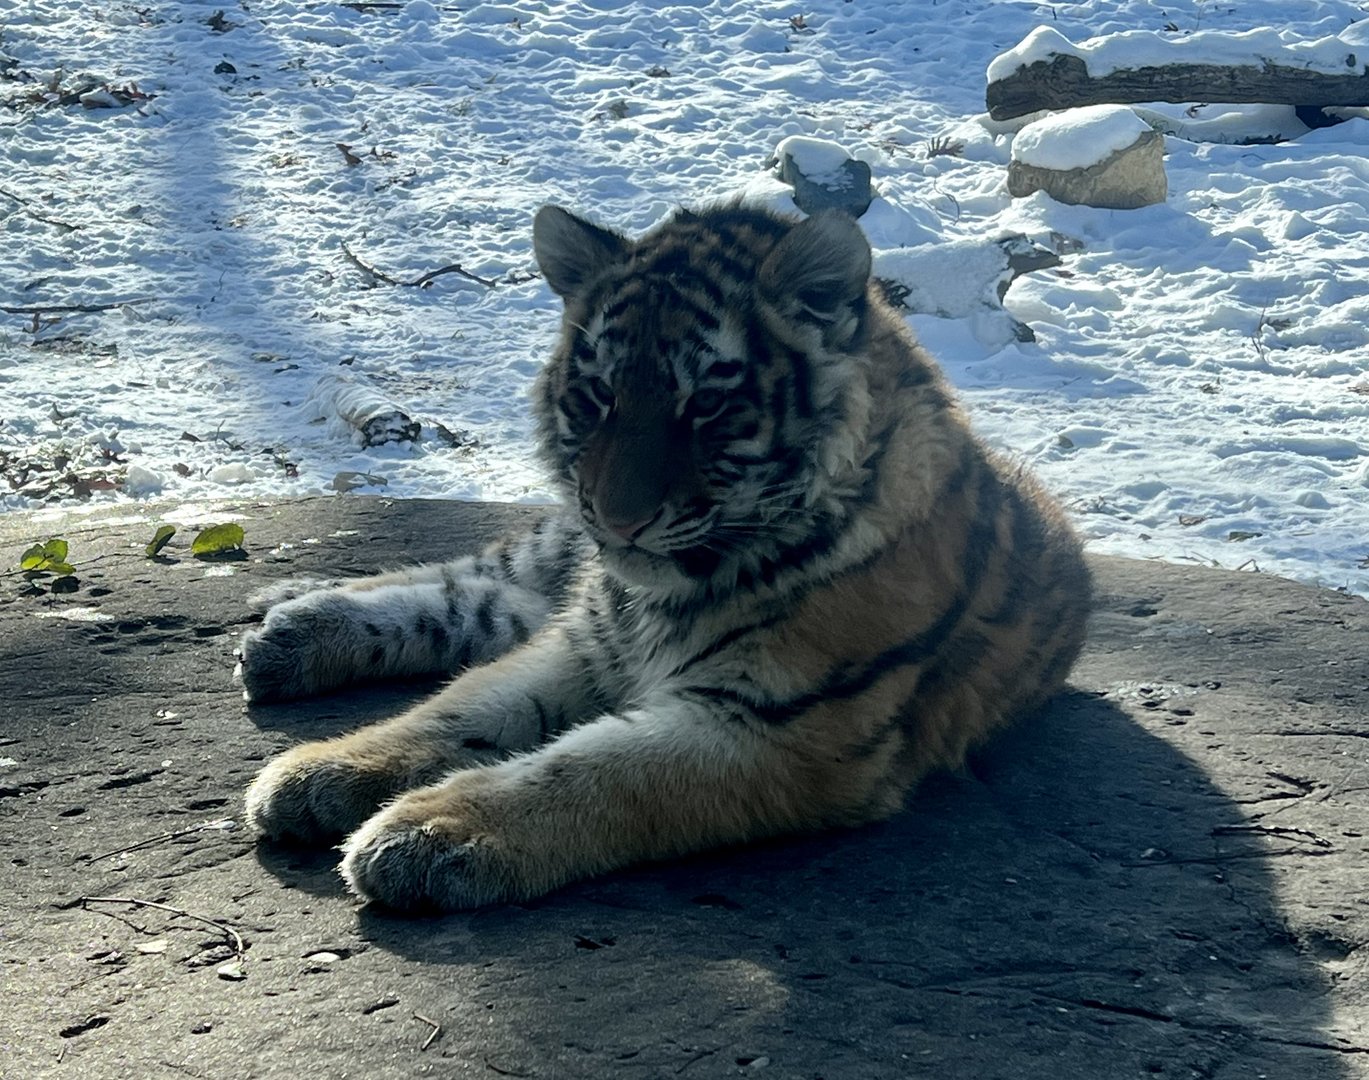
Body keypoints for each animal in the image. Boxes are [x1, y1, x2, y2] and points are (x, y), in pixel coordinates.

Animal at [238, 202, 1092, 913]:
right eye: (597, 395)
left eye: (705, 405)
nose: (619, 522)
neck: (667, 593)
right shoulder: (585, 646)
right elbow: (459, 707)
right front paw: (322, 772)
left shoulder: (782, 728)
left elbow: (591, 769)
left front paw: (430, 832)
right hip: (556, 556)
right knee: (465, 583)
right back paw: (289, 621)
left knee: (485, 607)